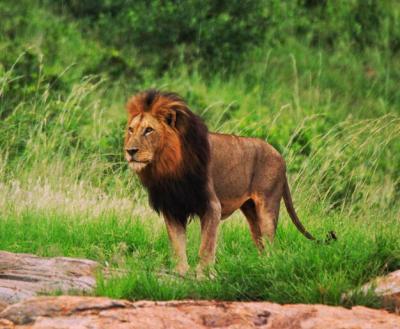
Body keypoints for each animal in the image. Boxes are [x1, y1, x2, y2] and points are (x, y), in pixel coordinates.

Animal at [124, 88, 334, 276]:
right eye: (131, 130)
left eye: (149, 130)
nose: (130, 151)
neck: (168, 166)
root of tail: (280, 156)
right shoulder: (173, 208)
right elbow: (178, 244)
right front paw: (181, 272)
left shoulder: (211, 206)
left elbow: (206, 245)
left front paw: (203, 274)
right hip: (251, 211)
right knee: (260, 242)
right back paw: (261, 266)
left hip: (268, 206)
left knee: (271, 243)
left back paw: (269, 268)